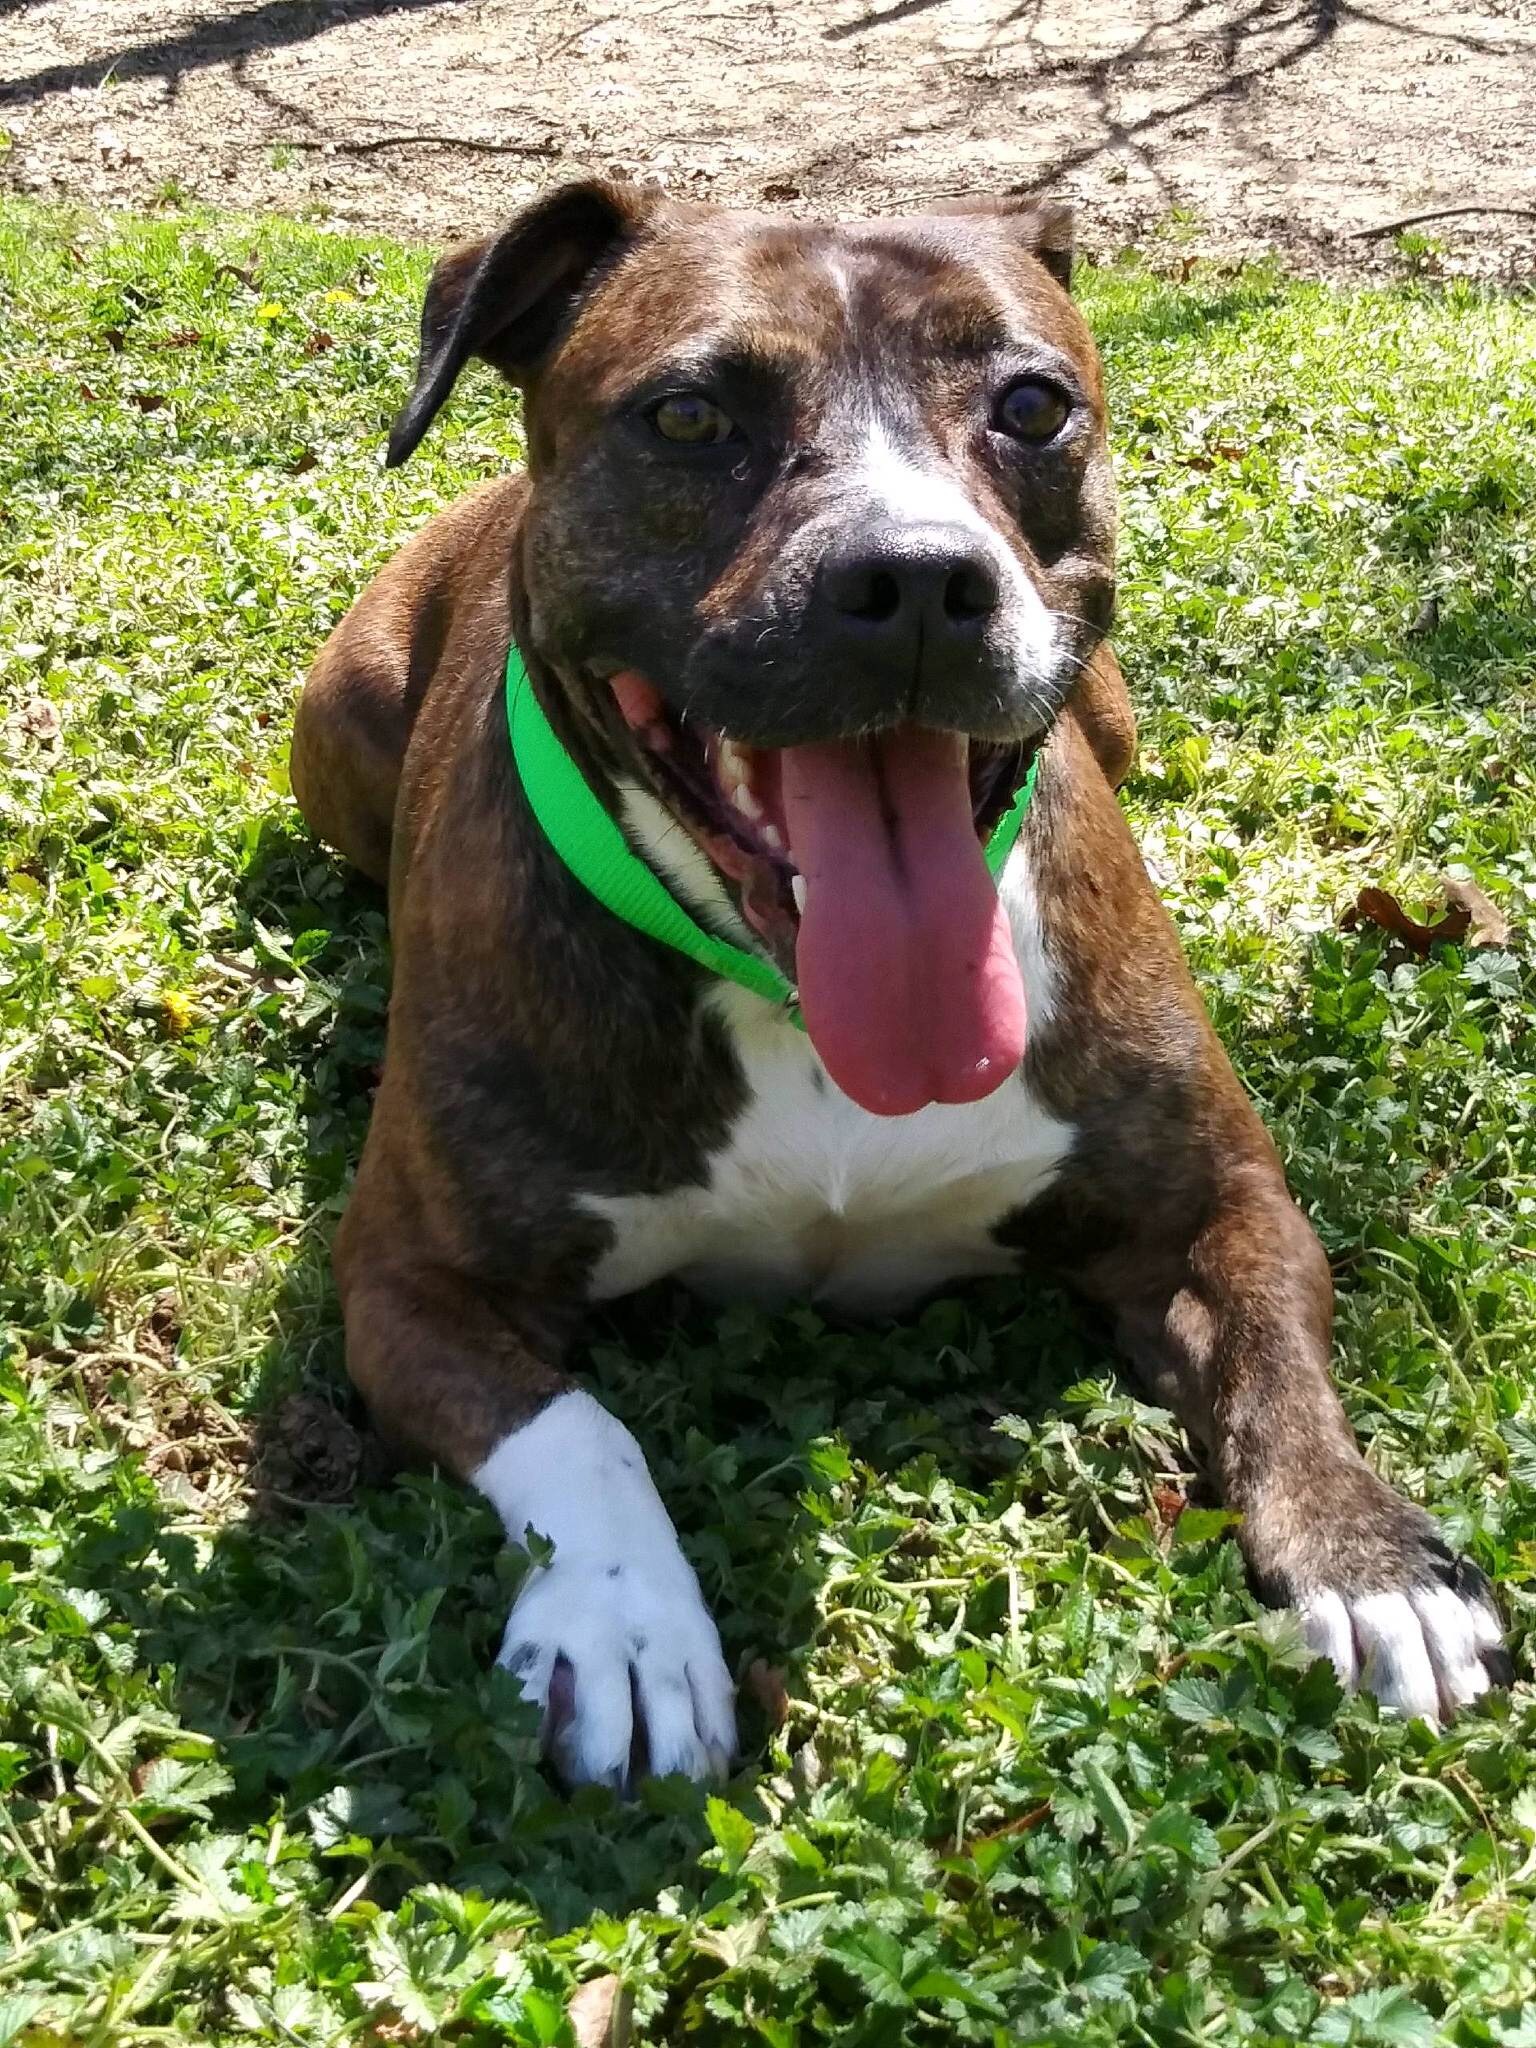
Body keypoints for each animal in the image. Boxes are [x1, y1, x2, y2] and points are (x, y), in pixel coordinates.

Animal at [290, 180, 1515, 1794]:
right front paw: (626, 1623)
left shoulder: (1219, 1204)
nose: (921, 578)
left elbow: (1276, 1362)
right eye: (688, 416)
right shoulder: (412, 1281)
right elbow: (577, 1428)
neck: (795, 1004)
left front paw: (1368, 1557)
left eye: (1034, 405)